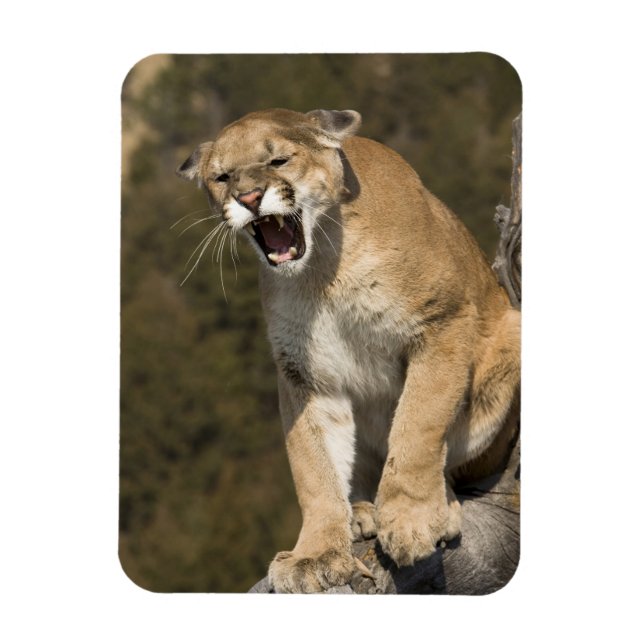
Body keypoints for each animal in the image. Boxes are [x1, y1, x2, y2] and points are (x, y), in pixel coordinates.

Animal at [177, 108, 520, 593]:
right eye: (222, 177)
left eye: (279, 160)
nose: (248, 197)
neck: (322, 269)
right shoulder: (304, 372)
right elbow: (312, 465)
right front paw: (315, 553)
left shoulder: (442, 322)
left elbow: (418, 425)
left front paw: (411, 519)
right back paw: (359, 512)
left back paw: (437, 508)